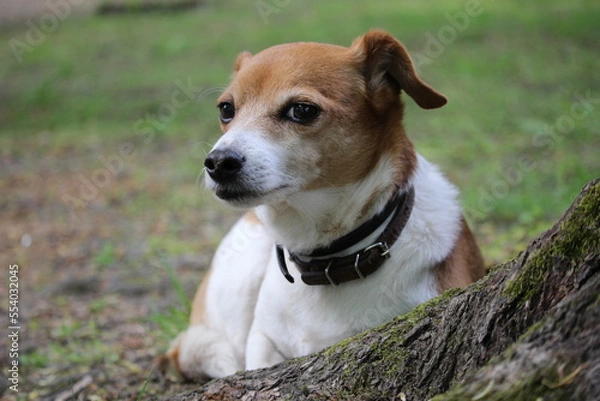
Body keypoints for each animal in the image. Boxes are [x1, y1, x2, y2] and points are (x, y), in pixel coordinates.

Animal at [166, 29, 486, 380]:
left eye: (302, 111)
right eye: (226, 109)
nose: (218, 162)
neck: (327, 259)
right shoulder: (262, 339)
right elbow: (256, 357)